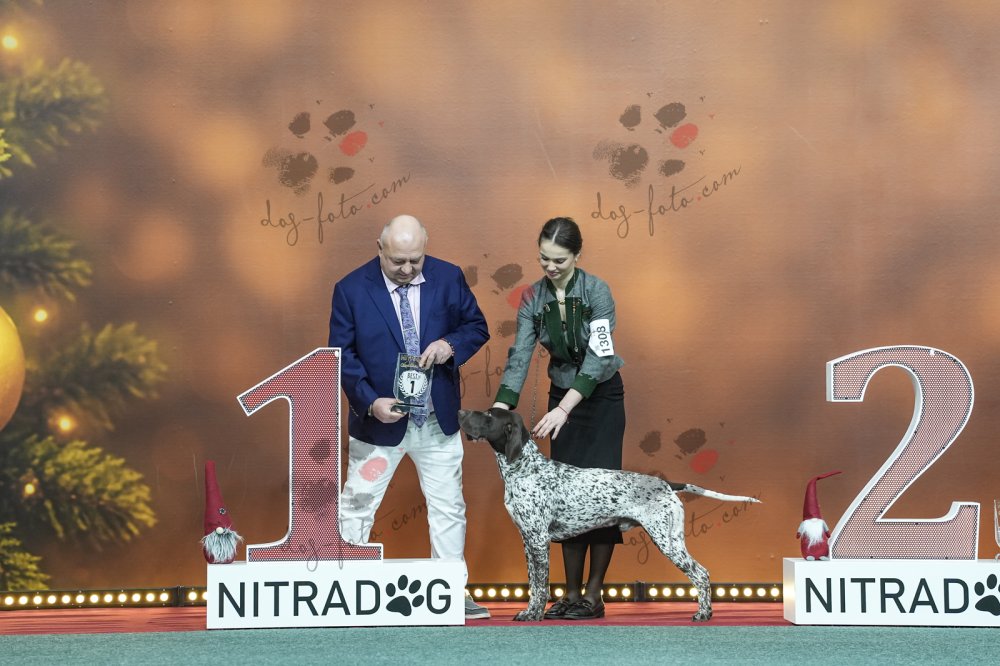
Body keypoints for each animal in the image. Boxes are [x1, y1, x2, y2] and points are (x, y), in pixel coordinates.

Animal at [457, 407, 760, 622]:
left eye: (488, 415)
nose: (460, 412)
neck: (524, 469)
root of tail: (666, 484)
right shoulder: (528, 540)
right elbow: (533, 583)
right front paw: (530, 611)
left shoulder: (539, 540)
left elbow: (541, 586)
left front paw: (533, 615)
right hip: (672, 539)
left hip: (667, 541)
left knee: (701, 574)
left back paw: (703, 614)